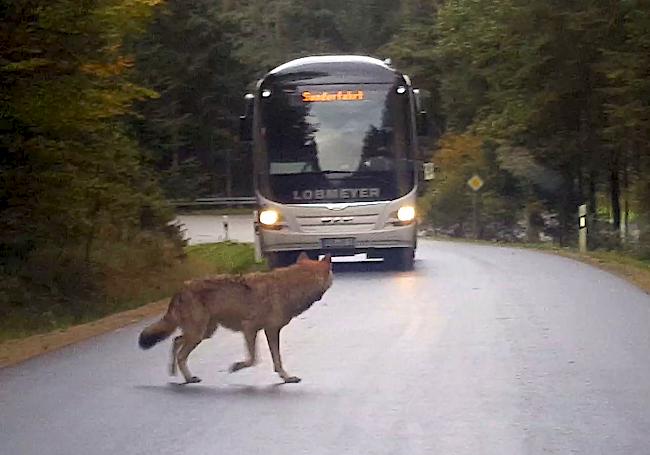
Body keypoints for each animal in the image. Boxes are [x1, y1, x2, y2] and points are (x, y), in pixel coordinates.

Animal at [136, 253, 330, 384]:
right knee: (180, 353)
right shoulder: (251, 328)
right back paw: (188, 378)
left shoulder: (268, 331)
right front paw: (236, 366)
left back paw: (175, 373)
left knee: (175, 341)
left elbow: (275, 360)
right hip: (198, 334)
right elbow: (254, 359)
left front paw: (286, 378)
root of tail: (181, 288)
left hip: (205, 333)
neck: (293, 286)